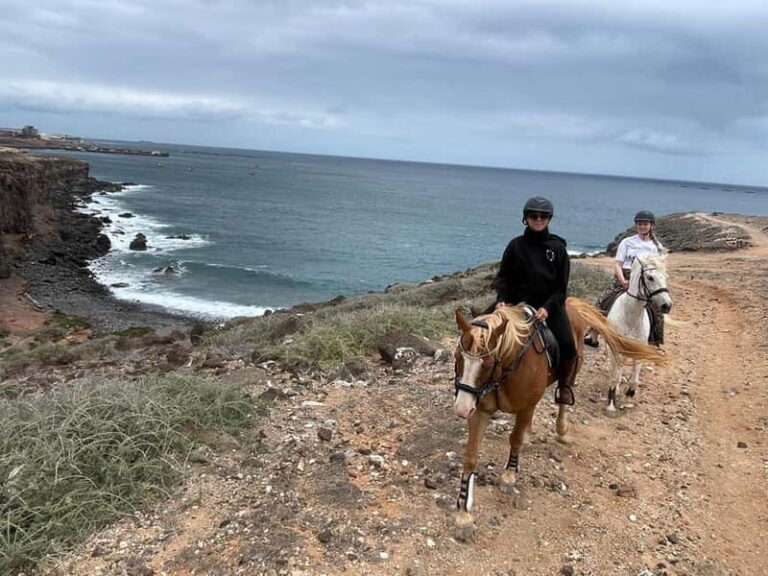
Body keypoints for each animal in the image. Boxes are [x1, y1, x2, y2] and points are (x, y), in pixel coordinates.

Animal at [452, 298, 666, 530]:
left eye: (488, 364)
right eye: (457, 357)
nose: (461, 408)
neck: (506, 369)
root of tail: (572, 304)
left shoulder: (522, 406)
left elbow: (515, 439)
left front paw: (509, 475)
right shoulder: (480, 411)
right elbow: (470, 456)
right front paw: (463, 511)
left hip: (573, 367)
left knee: (564, 396)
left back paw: (561, 430)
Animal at [604, 253, 672, 417]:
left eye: (665, 276)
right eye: (650, 277)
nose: (667, 306)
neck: (631, 316)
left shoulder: (639, 348)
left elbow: (634, 378)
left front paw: (630, 393)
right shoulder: (615, 348)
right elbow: (614, 377)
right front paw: (611, 404)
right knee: (614, 368)